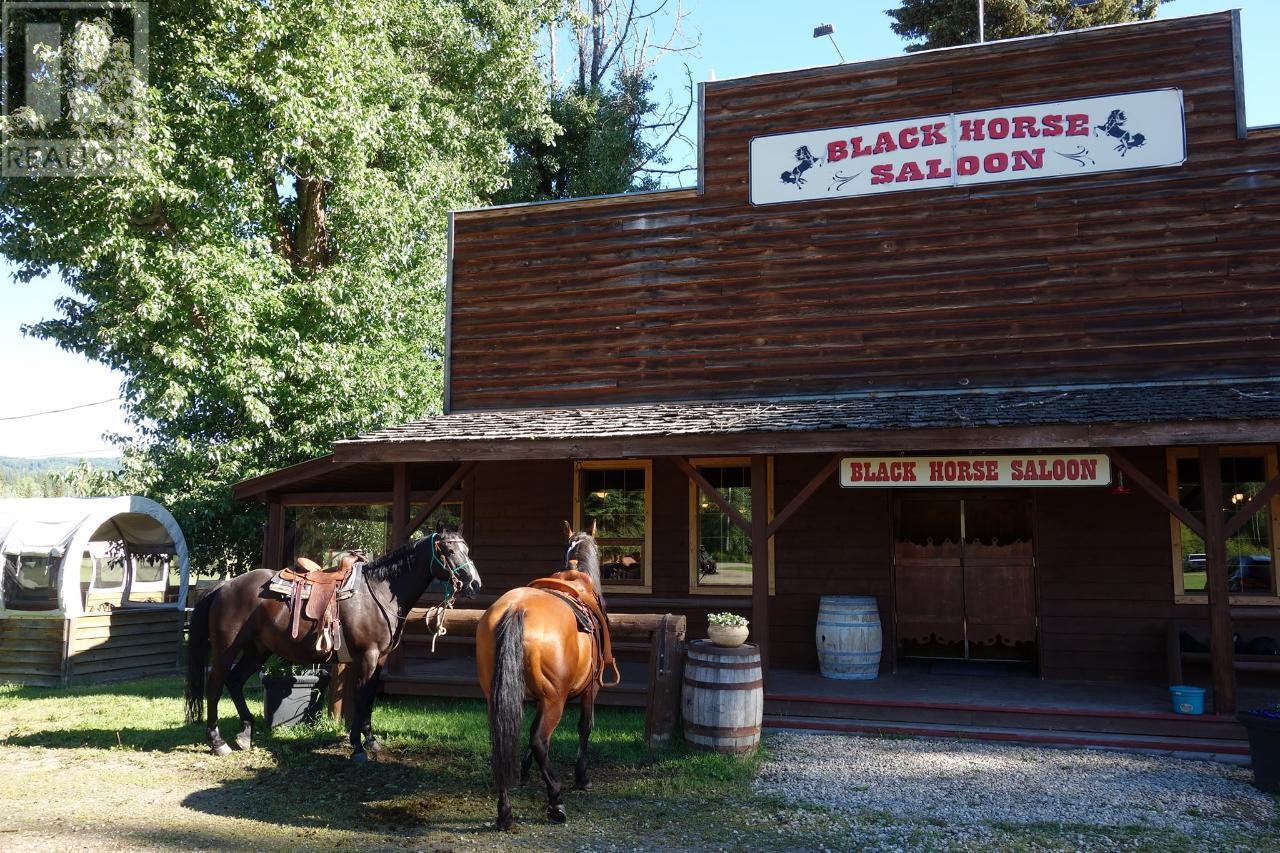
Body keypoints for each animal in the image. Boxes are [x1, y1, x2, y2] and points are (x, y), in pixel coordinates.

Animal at [183, 522, 478, 758]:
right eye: (449, 551)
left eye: (467, 550)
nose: (475, 584)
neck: (378, 593)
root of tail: (224, 587)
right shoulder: (368, 656)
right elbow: (361, 697)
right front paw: (357, 747)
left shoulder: (380, 659)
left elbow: (370, 697)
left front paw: (371, 741)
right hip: (226, 650)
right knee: (215, 685)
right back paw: (217, 742)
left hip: (258, 650)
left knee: (235, 681)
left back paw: (245, 733)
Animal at [481, 522, 619, 824]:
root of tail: (516, 608)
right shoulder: (590, 689)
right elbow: (584, 727)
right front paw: (582, 777)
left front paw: (523, 771)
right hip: (556, 700)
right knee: (540, 740)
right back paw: (556, 801)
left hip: (497, 696)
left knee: (503, 737)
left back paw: (505, 811)